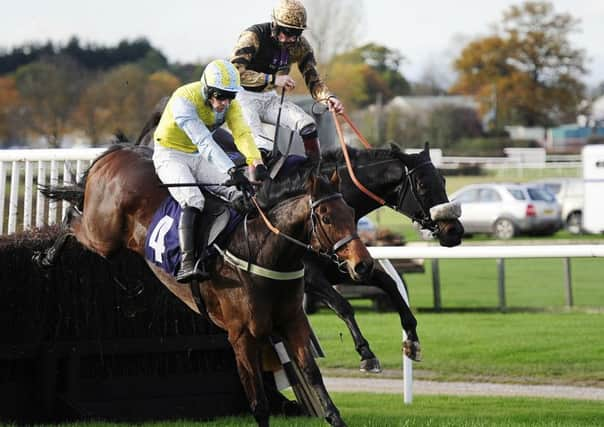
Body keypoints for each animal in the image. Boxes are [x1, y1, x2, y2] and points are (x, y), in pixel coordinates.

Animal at [37, 145, 372, 427]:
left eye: (351, 212)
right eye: (326, 217)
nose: (363, 265)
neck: (261, 250)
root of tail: (115, 153)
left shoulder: (293, 321)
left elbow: (314, 377)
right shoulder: (241, 336)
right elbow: (258, 403)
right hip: (102, 236)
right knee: (71, 218)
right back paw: (46, 256)